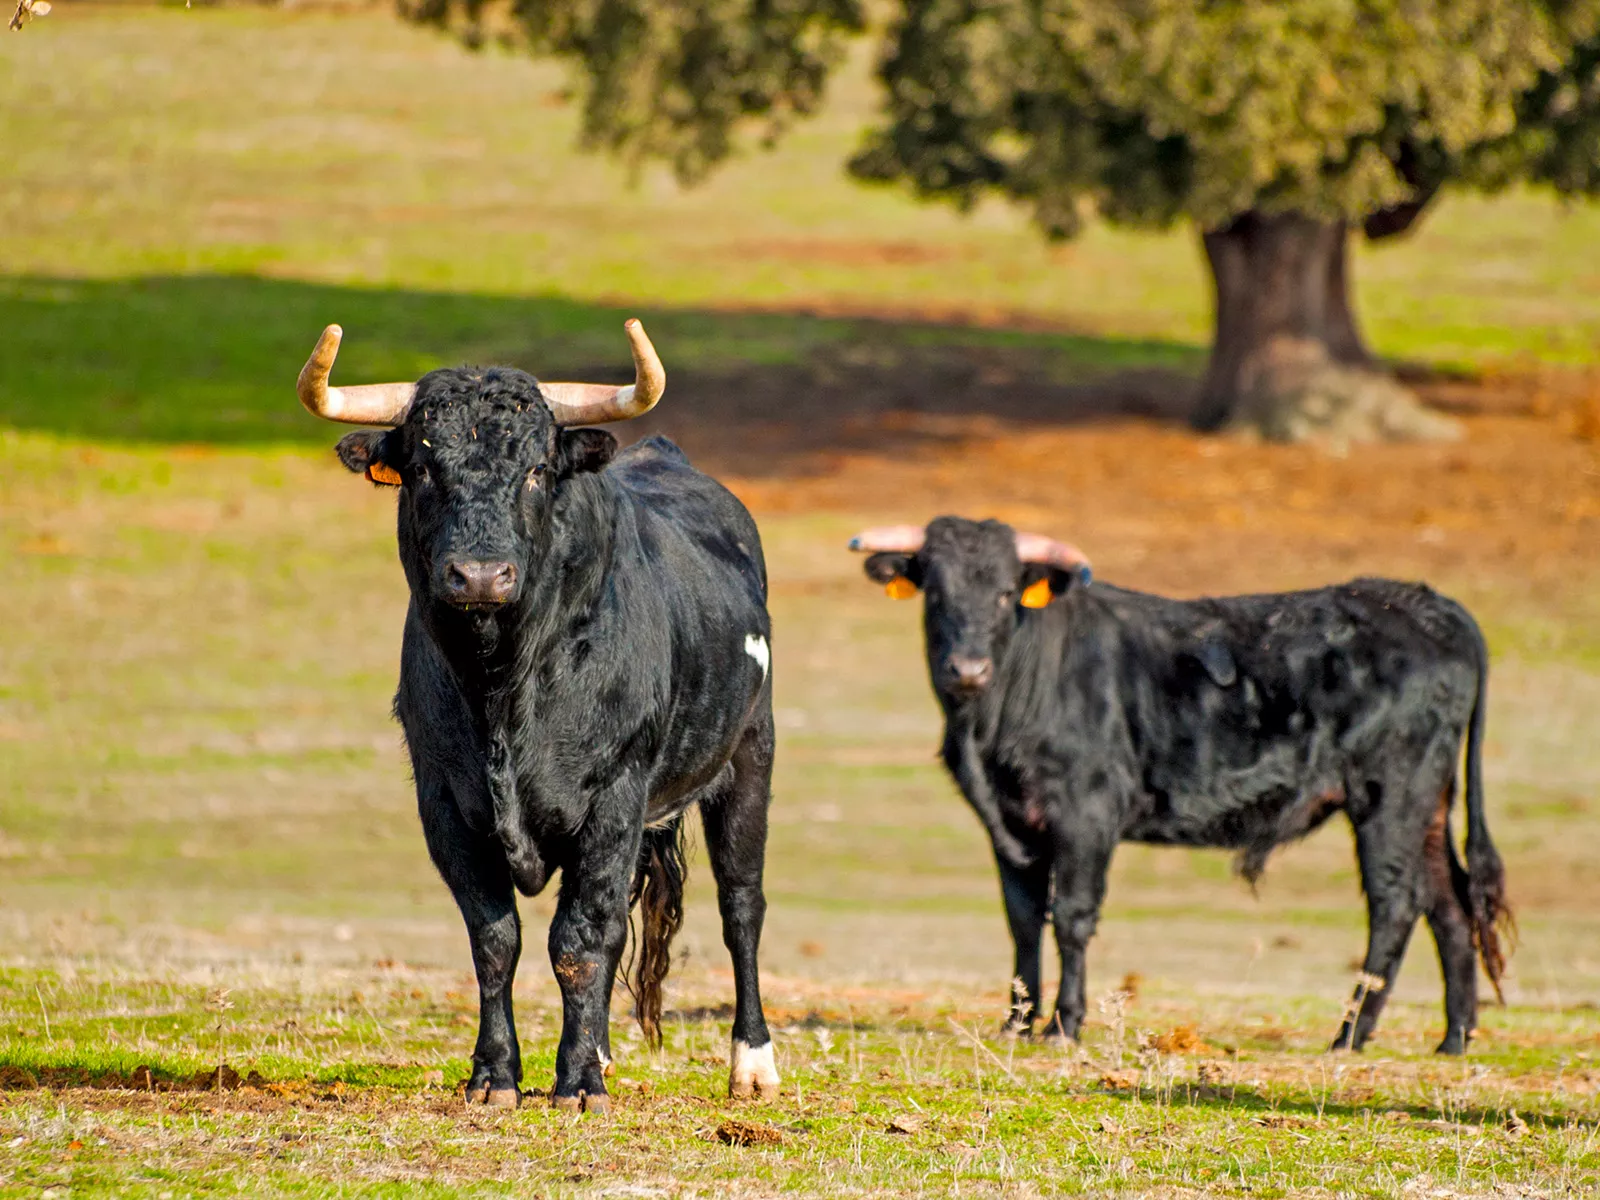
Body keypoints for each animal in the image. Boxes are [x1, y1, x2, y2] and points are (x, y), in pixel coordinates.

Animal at [328, 371, 777, 1113]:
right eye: (421, 468)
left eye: (537, 470)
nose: (481, 576)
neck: (503, 690)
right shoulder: (444, 803)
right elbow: (495, 939)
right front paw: (495, 1076)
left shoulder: (616, 796)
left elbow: (579, 940)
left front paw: (579, 1084)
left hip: (749, 757)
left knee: (741, 906)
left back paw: (753, 1065)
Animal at [851, 518, 1510, 1049]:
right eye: (936, 592)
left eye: (1007, 591)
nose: (967, 668)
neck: (989, 729)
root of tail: (1419, 602)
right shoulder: (1011, 825)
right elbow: (1022, 920)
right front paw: (1016, 1023)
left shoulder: (1085, 814)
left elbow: (1072, 916)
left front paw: (1064, 1024)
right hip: (1427, 806)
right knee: (1449, 902)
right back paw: (1454, 1037)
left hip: (1389, 796)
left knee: (1396, 902)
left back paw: (1350, 1034)